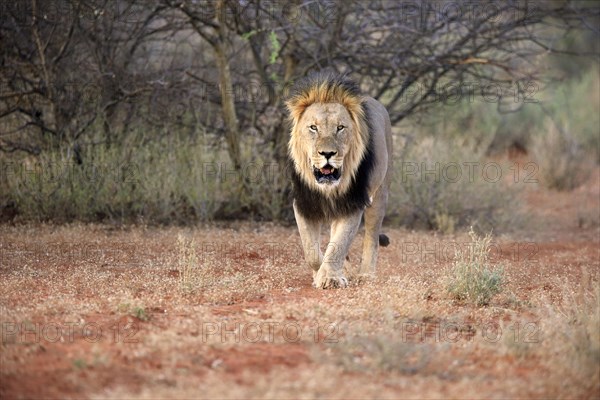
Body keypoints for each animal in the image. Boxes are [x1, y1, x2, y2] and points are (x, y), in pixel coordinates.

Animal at [288, 72, 394, 290]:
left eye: (340, 128)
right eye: (313, 128)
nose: (327, 153)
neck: (328, 188)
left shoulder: (353, 203)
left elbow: (339, 244)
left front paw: (331, 277)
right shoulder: (303, 203)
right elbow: (311, 251)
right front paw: (323, 272)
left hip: (380, 195)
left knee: (371, 237)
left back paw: (366, 274)